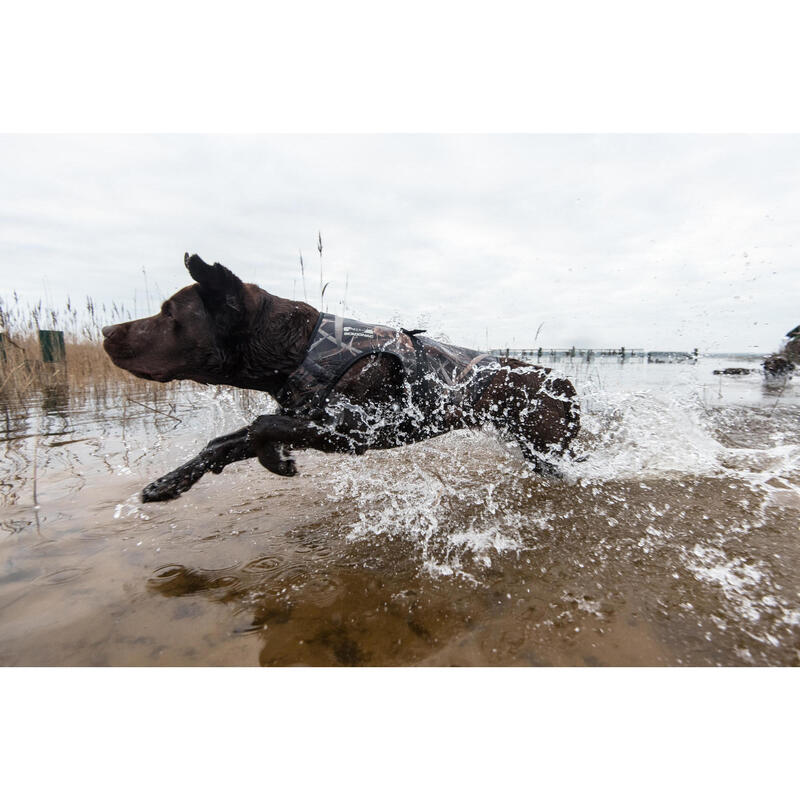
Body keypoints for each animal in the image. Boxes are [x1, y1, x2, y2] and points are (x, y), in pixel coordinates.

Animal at [101, 253, 580, 504]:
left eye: (169, 315)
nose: (105, 332)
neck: (300, 347)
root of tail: (557, 378)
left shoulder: (353, 430)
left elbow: (261, 426)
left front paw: (276, 462)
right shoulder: (305, 417)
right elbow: (223, 442)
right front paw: (169, 482)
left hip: (546, 445)